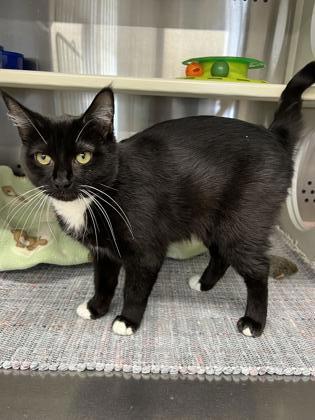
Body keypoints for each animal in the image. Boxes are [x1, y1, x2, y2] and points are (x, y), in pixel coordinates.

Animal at [2, 61, 315, 338]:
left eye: (83, 156)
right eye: (43, 157)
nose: (62, 181)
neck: (97, 197)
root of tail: (274, 136)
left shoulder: (146, 251)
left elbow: (135, 288)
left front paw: (127, 320)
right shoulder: (104, 251)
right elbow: (103, 280)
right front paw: (96, 308)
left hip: (244, 218)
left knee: (257, 267)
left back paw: (254, 321)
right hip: (214, 220)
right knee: (220, 254)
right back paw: (203, 284)